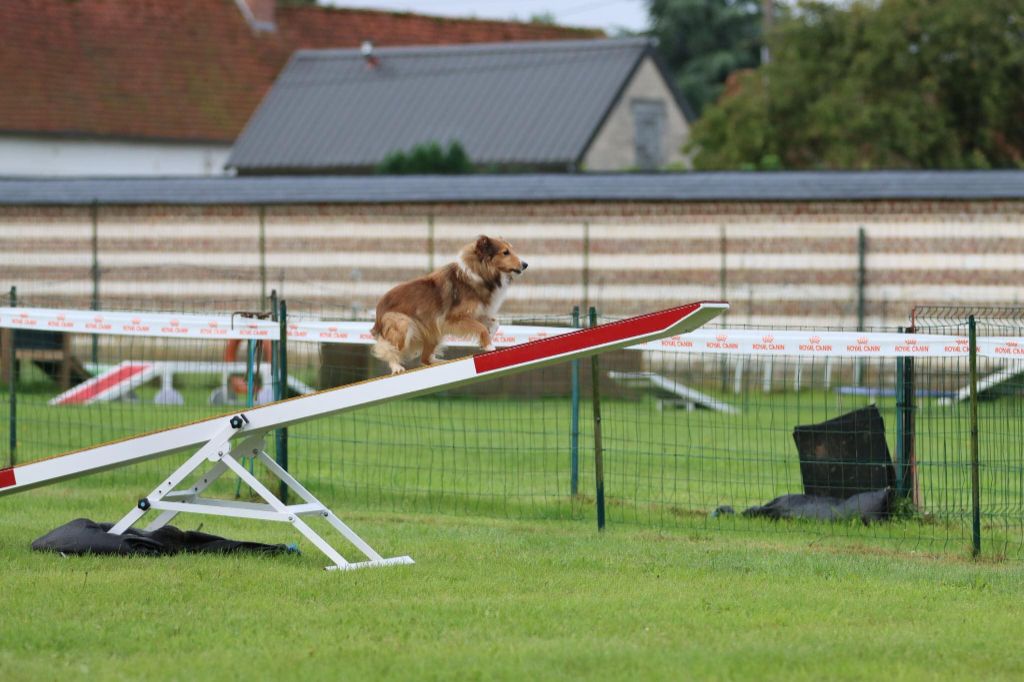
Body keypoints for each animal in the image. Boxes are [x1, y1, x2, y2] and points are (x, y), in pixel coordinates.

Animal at [370, 235, 528, 374]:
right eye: (505, 252)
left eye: (511, 249)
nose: (525, 264)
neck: (480, 273)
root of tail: (378, 308)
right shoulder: (453, 318)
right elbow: (481, 328)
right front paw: (489, 346)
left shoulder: (477, 313)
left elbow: (495, 323)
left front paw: (488, 339)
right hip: (404, 324)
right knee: (390, 349)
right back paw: (396, 367)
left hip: (432, 331)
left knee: (425, 359)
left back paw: (439, 362)